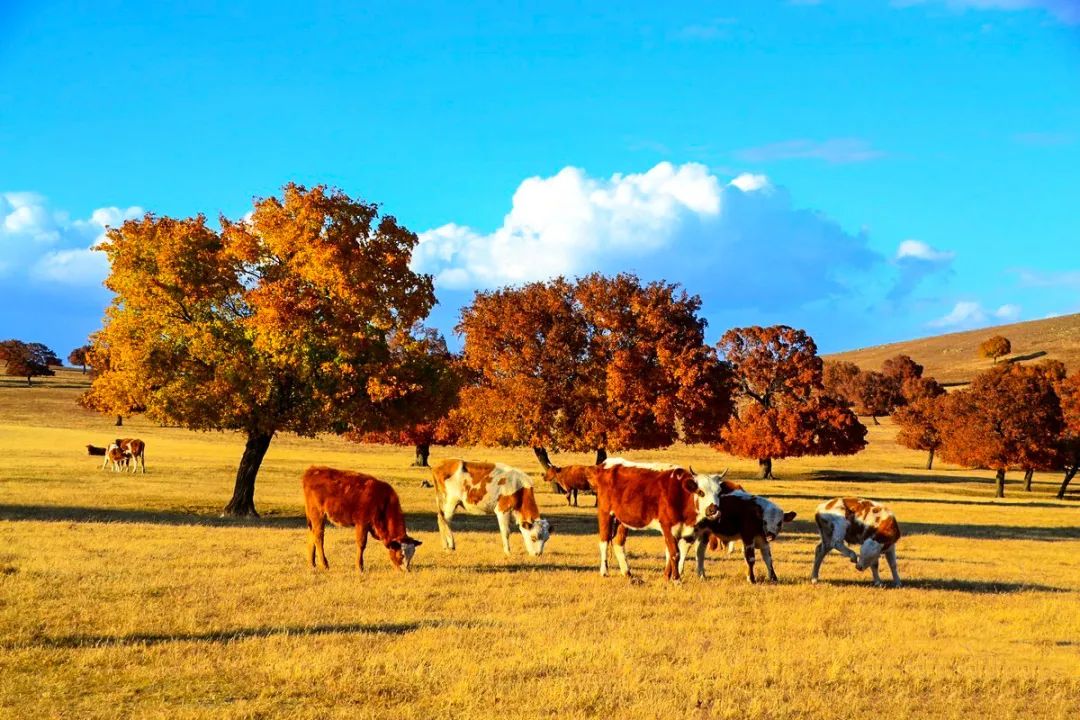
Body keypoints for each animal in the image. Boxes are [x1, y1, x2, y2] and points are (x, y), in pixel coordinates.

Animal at [591, 464, 725, 582]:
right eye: (701, 492)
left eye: (719, 493)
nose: (713, 509)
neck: (680, 494)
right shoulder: (667, 527)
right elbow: (675, 554)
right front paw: (676, 579)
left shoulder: (681, 530)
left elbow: (672, 553)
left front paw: (666, 577)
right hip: (605, 514)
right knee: (604, 542)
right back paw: (604, 572)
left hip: (623, 521)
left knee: (619, 544)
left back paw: (627, 573)